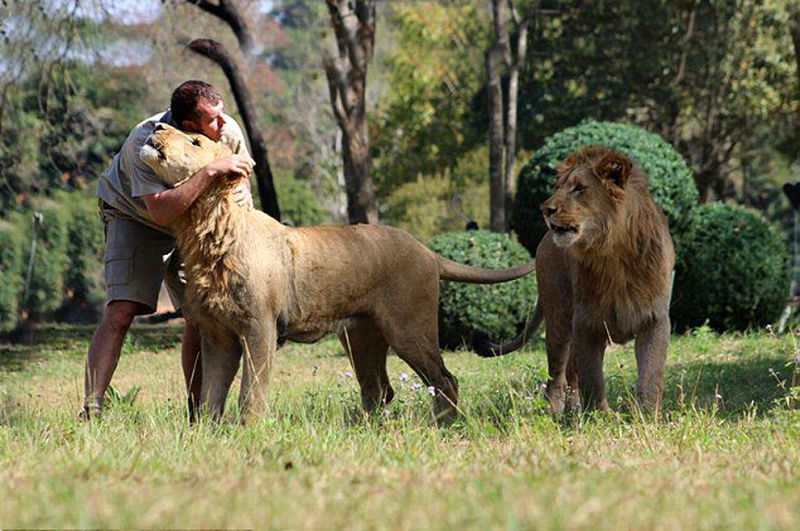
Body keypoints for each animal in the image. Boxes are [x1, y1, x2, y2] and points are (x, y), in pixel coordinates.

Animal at [140, 123, 536, 424]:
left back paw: (443, 425)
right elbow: (210, 395)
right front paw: (205, 433)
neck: (204, 228)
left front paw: (248, 431)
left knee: (445, 379)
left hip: (409, 329)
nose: (156, 127)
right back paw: (369, 429)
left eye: (195, 141)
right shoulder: (217, 335)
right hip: (361, 337)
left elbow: (250, 393)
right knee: (379, 389)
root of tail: (427, 250)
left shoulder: (259, 329)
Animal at [476, 147, 676, 416]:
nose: (545, 210)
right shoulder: (587, 322)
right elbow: (592, 377)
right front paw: (601, 416)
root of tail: (544, 240)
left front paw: (646, 415)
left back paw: (572, 411)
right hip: (559, 320)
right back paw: (556, 412)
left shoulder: (654, 319)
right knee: (557, 374)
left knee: (571, 371)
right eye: (558, 187)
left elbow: (650, 374)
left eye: (579, 188)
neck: (614, 256)